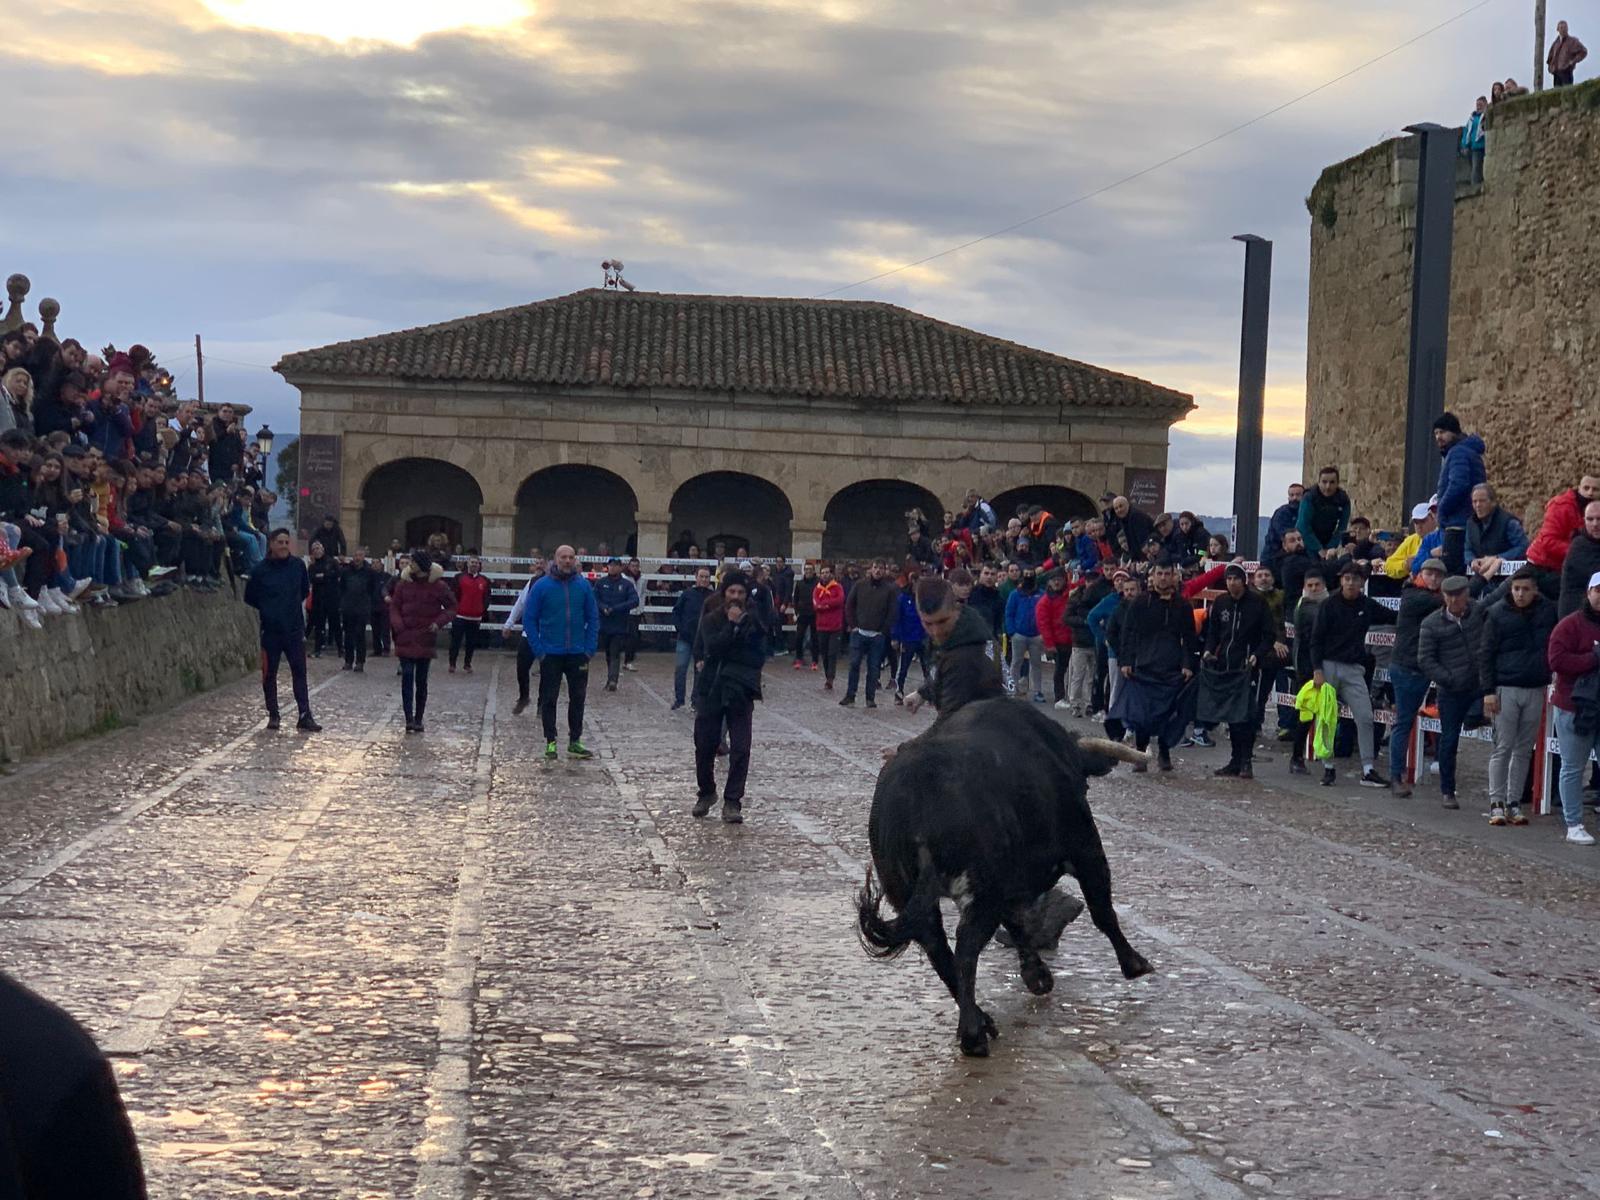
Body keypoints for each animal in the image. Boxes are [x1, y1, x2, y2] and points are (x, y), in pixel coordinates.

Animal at [857, 700, 1158, 1056]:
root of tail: (915, 797)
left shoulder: (1011, 885)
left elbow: (1018, 925)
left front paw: (1037, 976)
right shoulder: (1086, 850)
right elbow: (1103, 913)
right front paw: (1135, 964)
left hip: (911, 894)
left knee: (939, 950)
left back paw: (982, 1019)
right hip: (982, 892)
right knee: (965, 948)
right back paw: (973, 1034)